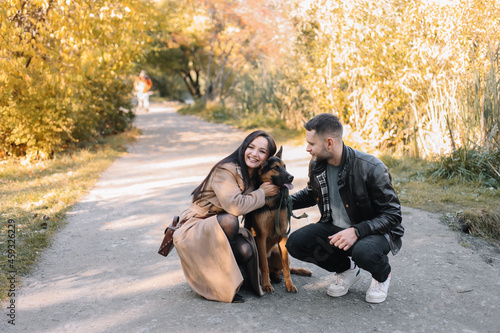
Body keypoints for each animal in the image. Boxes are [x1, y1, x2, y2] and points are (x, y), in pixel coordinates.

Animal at [244, 147, 310, 292]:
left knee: (285, 268)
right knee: (269, 269)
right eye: (276, 168)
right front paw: (266, 285)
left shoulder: (283, 235)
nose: (291, 177)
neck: (272, 201)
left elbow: (286, 267)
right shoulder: (261, 237)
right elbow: (264, 265)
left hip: (276, 250)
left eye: (285, 166)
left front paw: (289, 284)